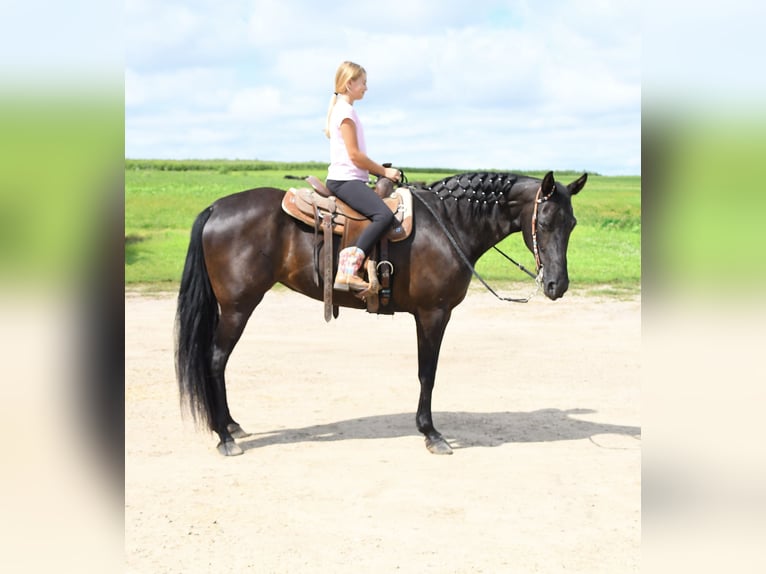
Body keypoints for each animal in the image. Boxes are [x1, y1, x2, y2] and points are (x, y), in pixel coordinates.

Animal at [175, 170, 587, 456]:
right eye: (545, 222)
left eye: (571, 224)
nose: (558, 285)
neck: (449, 223)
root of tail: (216, 208)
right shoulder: (433, 314)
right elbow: (427, 373)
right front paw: (431, 433)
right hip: (237, 307)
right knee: (215, 360)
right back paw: (224, 436)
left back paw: (231, 425)